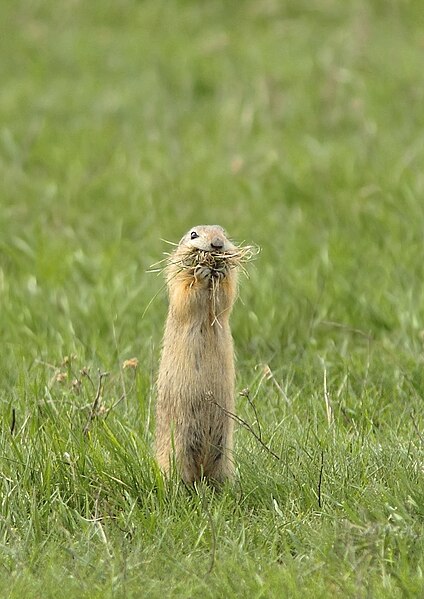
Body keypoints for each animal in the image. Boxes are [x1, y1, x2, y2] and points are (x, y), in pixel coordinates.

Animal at [156, 223, 255, 486]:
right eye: (193, 234)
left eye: (223, 232)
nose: (217, 245)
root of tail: (200, 473)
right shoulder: (176, 277)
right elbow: (185, 294)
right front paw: (201, 271)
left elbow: (224, 297)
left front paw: (219, 273)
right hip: (175, 451)